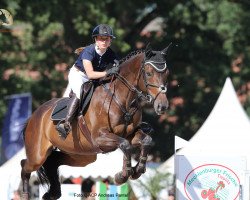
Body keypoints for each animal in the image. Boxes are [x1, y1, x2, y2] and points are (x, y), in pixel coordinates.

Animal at [20, 43, 171, 198]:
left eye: (167, 73)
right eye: (149, 73)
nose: (162, 106)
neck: (122, 98)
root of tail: (34, 116)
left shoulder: (130, 134)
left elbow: (146, 141)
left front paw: (136, 171)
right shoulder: (100, 137)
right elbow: (125, 145)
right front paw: (122, 176)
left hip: (81, 155)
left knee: (52, 161)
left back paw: (53, 193)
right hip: (38, 155)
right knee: (25, 165)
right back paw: (25, 194)